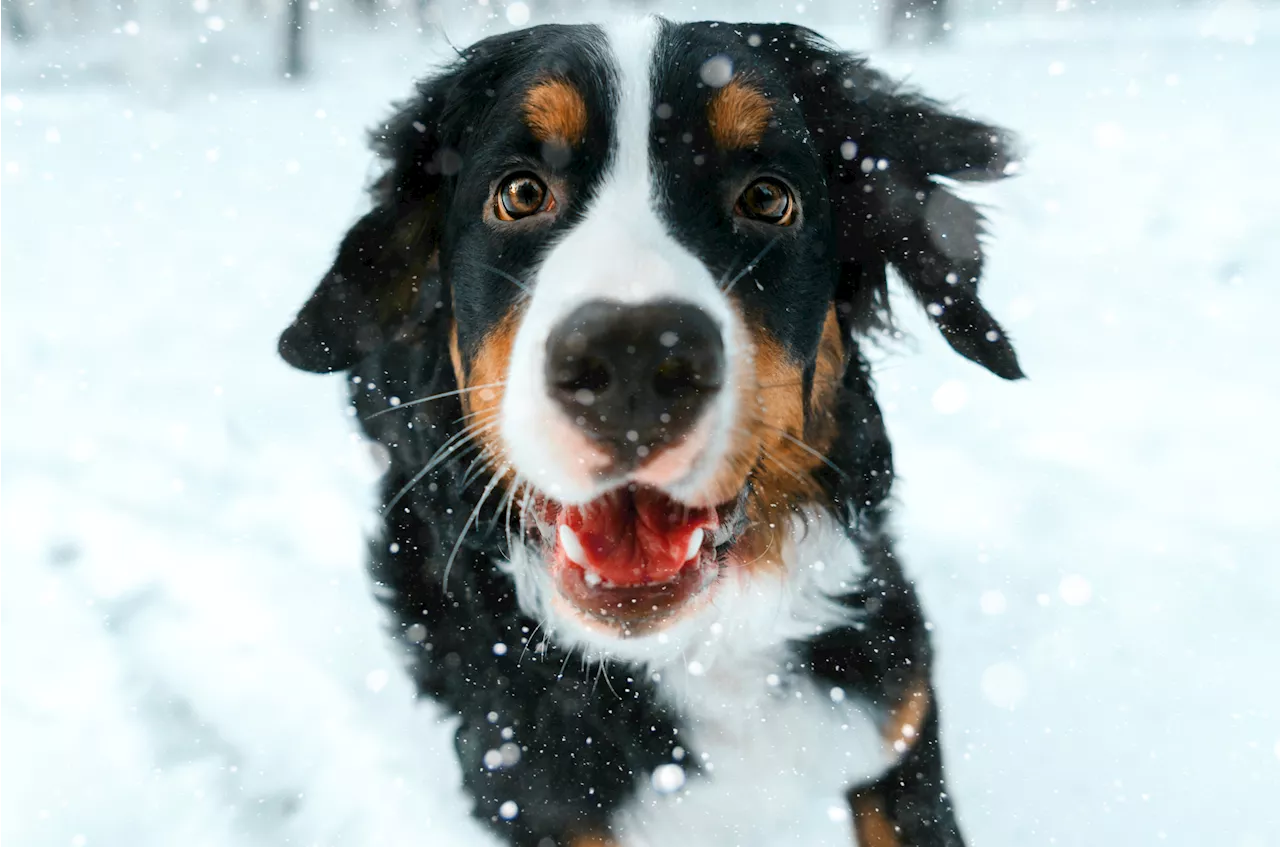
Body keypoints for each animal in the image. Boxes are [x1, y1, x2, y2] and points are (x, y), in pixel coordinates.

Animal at [277, 18, 1018, 847]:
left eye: (767, 198)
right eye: (521, 193)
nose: (633, 356)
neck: (706, 645)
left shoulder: (899, 727)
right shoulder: (535, 789)